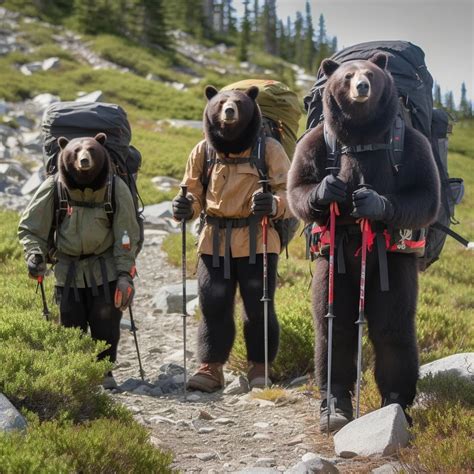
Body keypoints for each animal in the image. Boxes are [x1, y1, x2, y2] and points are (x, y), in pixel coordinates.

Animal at [19, 131, 141, 386]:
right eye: (75, 151)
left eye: (91, 149)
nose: (84, 161)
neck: (84, 187)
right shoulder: (48, 190)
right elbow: (31, 225)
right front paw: (35, 262)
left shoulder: (120, 193)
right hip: (70, 280)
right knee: (71, 314)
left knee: (104, 321)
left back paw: (105, 374)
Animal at [173, 86, 292, 392]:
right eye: (220, 102)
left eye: (238, 102)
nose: (228, 111)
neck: (233, 148)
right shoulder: (197, 154)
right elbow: (194, 187)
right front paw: (182, 205)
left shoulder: (273, 154)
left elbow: (284, 188)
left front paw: (267, 201)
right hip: (215, 252)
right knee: (215, 303)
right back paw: (205, 374)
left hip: (256, 253)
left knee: (257, 303)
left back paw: (260, 371)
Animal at [288, 53, 440, 432]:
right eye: (347, 75)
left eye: (369, 73)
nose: (361, 86)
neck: (360, 135)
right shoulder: (313, 143)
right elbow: (298, 186)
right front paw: (327, 189)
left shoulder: (414, 144)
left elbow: (425, 194)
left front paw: (372, 201)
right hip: (333, 266)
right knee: (335, 327)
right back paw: (335, 407)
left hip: (393, 269)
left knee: (394, 328)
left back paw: (396, 404)